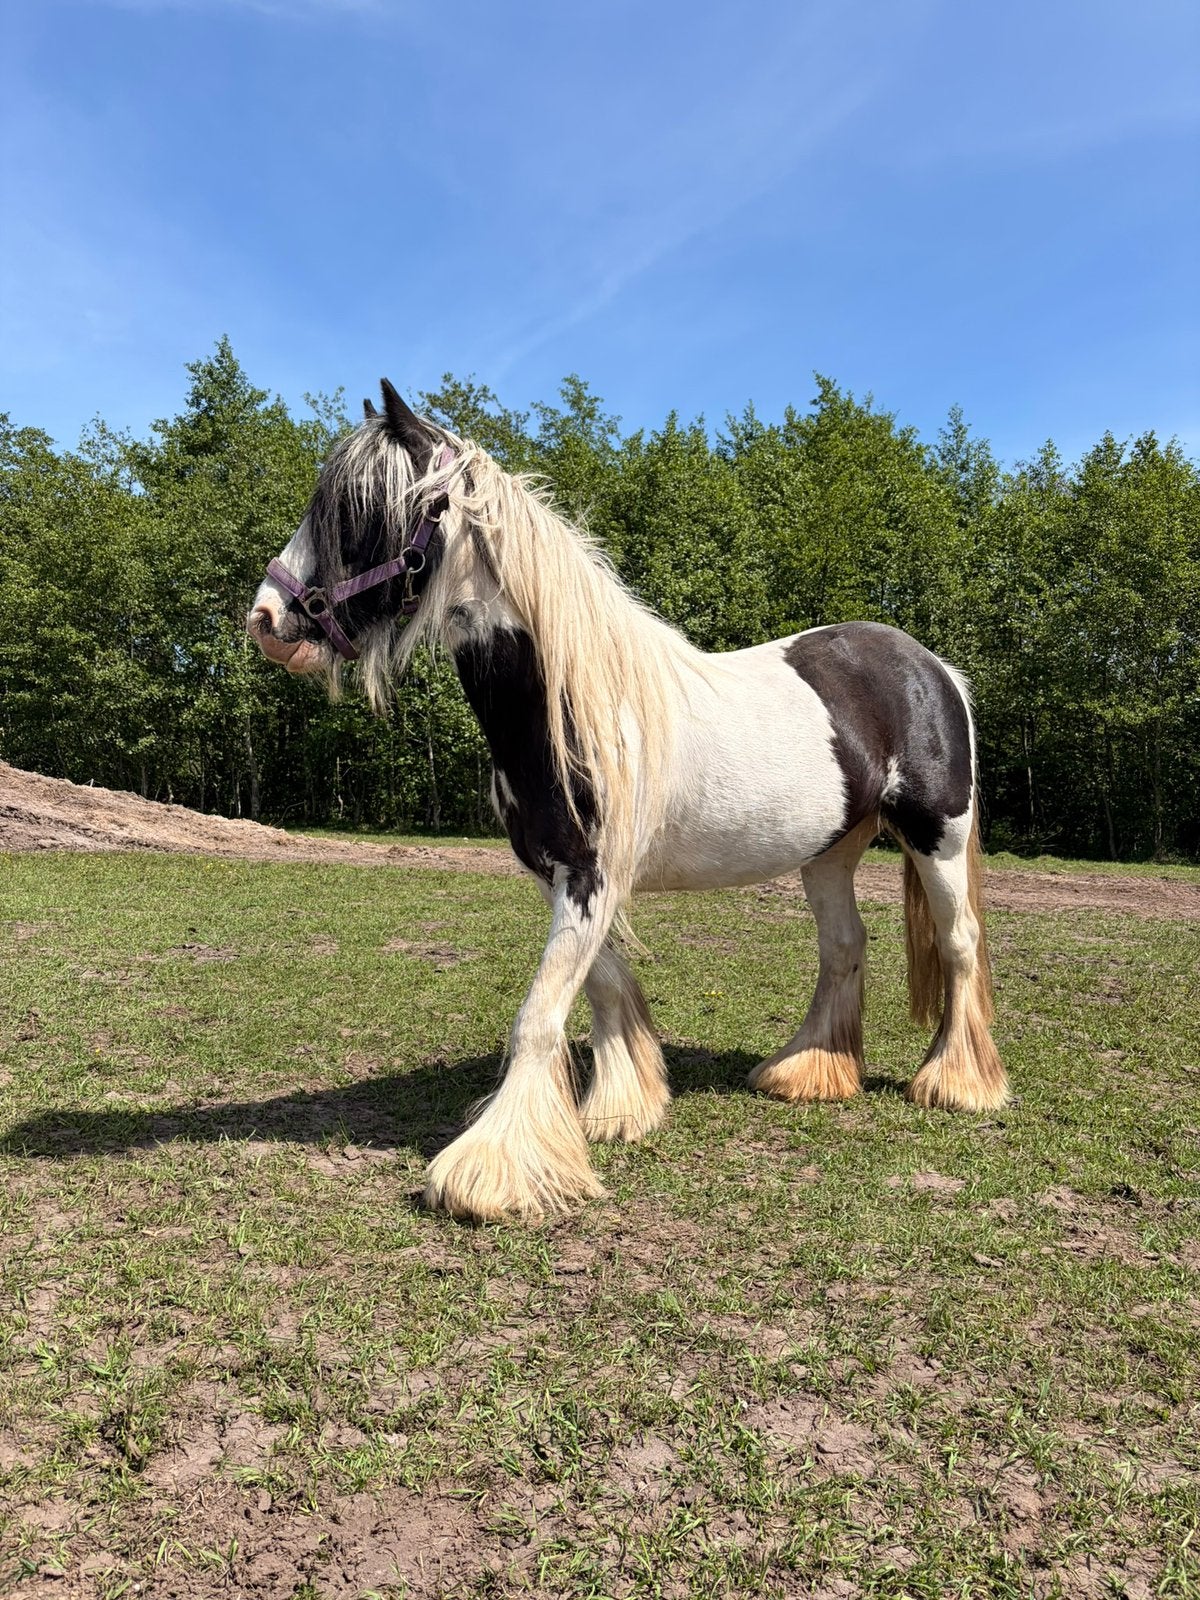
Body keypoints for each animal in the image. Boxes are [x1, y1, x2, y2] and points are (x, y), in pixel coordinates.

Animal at [248, 379, 1007, 1223]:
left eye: (365, 508)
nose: (268, 619)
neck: (571, 703)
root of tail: (933, 667)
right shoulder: (560, 874)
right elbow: (602, 989)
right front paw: (618, 1108)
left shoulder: (593, 877)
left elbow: (537, 1017)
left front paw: (491, 1173)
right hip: (828, 853)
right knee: (844, 946)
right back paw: (805, 1073)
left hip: (937, 834)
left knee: (961, 943)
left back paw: (958, 1084)